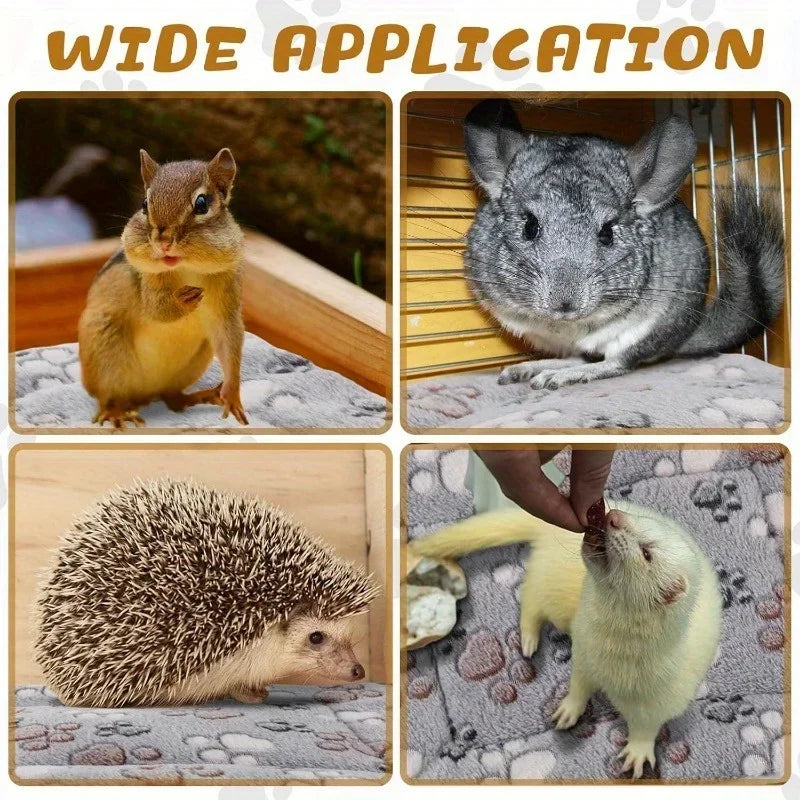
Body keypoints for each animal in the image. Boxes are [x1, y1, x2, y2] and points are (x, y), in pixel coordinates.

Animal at [78, 148, 248, 428]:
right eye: (144, 204)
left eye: (202, 204)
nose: (164, 241)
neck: (187, 268)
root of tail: (144, 395)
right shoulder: (147, 279)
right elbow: (156, 309)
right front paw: (184, 298)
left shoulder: (226, 297)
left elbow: (229, 339)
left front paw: (231, 394)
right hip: (104, 351)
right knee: (108, 397)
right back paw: (116, 413)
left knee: (173, 398)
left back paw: (201, 396)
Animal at [410, 500, 722, 778]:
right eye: (639, 518)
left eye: (647, 552)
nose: (613, 516)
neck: (611, 659)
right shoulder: (583, 652)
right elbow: (579, 685)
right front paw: (567, 711)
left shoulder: (666, 694)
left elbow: (649, 726)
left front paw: (637, 754)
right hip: (551, 589)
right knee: (530, 598)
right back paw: (528, 640)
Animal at [462, 99, 785, 390]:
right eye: (529, 226)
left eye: (608, 233)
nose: (565, 304)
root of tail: (682, 336)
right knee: (580, 355)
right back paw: (528, 369)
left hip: (649, 329)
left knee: (616, 363)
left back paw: (560, 376)